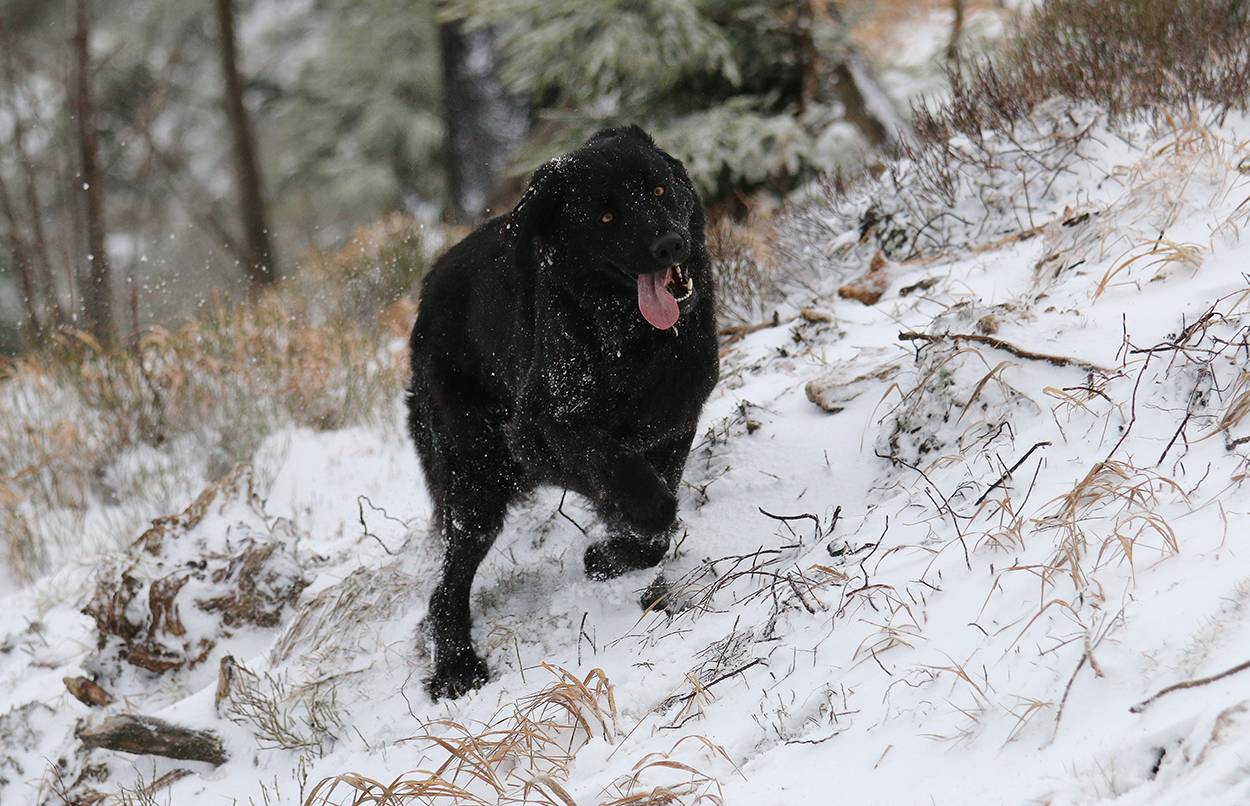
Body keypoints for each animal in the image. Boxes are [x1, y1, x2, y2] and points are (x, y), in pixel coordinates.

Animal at [407, 125, 719, 699]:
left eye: (659, 190)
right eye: (606, 217)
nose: (668, 244)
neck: (631, 341)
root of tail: (429, 291)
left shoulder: (673, 423)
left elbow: (657, 527)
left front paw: (611, 558)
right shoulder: (538, 432)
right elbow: (640, 492)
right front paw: (615, 541)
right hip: (478, 480)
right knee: (445, 587)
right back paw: (457, 668)